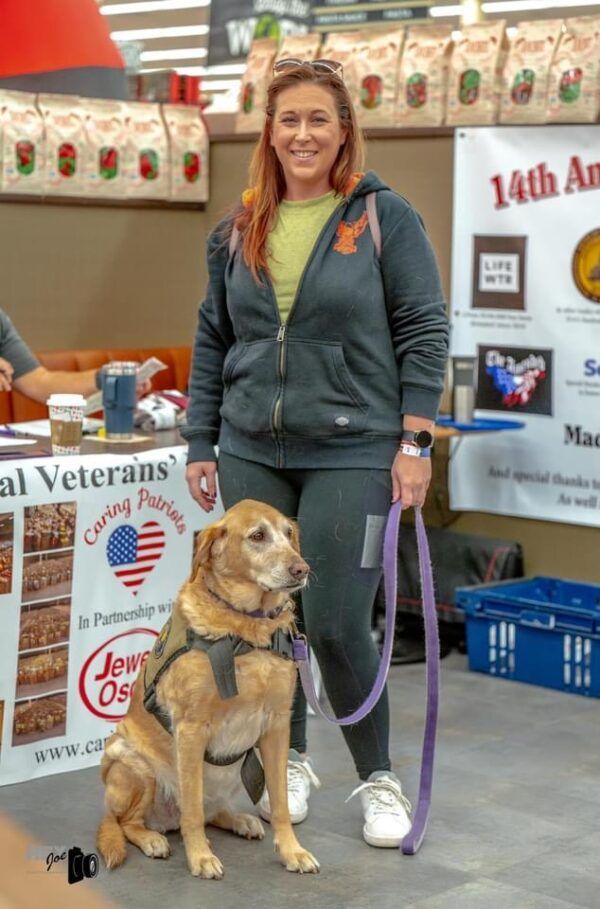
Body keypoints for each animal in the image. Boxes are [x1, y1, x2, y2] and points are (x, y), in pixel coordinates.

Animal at [96, 499, 320, 879]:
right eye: (257, 536)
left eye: (288, 534)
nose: (301, 569)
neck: (246, 628)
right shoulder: (190, 727)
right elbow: (193, 811)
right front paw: (200, 857)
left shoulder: (277, 724)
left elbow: (279, 804)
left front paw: (293, 851)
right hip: (132, 764)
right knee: (127, 822)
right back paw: (153, 839)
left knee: (212, 811)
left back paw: (241, 820)